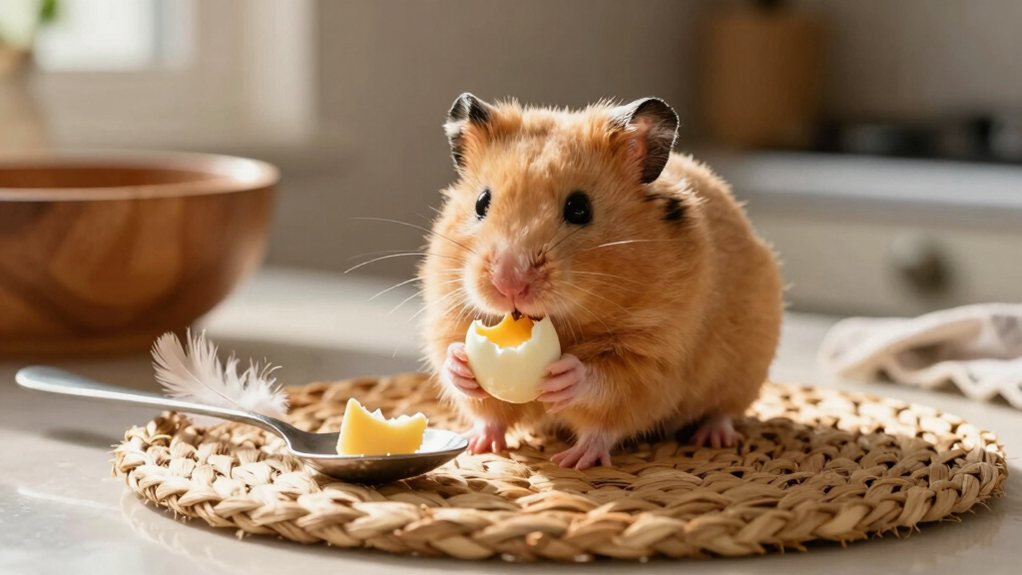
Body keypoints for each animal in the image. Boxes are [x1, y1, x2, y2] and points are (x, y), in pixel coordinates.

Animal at [419, 93, 782, 469]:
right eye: (481, 202)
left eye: (580, 208)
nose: (509, 284)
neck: (567, 320)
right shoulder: (447, 314)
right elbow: (476, 393)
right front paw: (461, 363)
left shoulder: (655, 357)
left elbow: (607, 390)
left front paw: (567, 381)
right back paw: (478, 444)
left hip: (745, 370)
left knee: (723, 410)